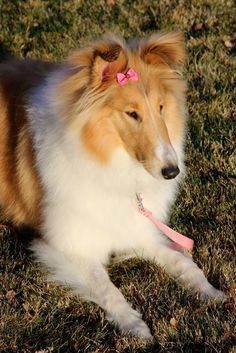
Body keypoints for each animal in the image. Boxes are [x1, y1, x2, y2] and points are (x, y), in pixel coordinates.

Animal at [0, 33, 225, 338]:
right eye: (132, 113)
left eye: (161, 107)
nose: (171, 171)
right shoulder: (69, 246)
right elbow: (106, 287)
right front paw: (134, 325)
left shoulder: (133, 227)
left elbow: (183, 262)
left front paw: (211, 292)